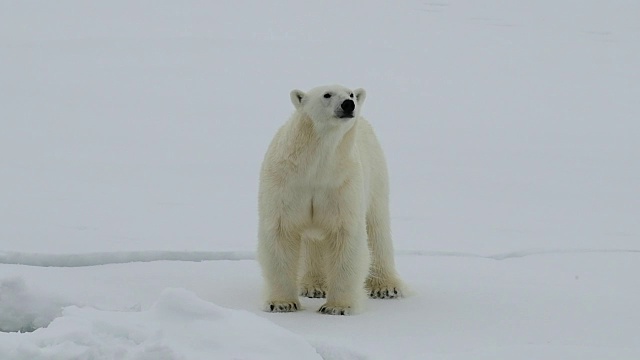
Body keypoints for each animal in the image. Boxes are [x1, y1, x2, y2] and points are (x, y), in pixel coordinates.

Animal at [256, 84, 402, 316]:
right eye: (327, 94)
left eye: (350, 94)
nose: (349, 104)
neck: (316, 166)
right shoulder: (286, 182)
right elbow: (281, 232)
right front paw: (281, 303)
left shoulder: (341, 183)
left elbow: (345, 234)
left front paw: (337, 307)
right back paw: (314, 285)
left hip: (376, 176)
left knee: (377, 227)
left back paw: (386, 287)